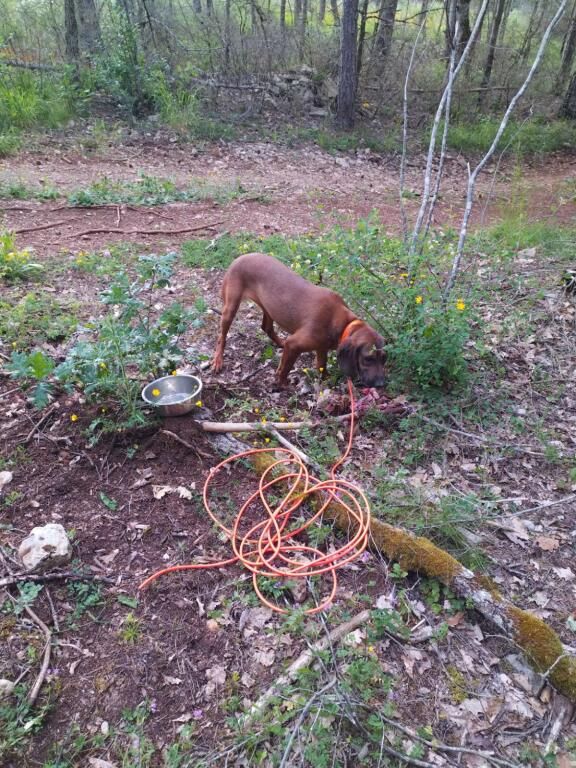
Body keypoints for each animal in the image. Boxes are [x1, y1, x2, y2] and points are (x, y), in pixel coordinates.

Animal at [213, 254, 388, 390]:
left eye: (384, 359)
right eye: (368, 359)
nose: (381, 384)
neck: (343, 322)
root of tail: (239, 258)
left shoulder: (321, 348)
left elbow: (321, 366)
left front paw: (326, 380)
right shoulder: (295, 344)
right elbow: (285, 369)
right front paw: (282, 383)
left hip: (269, 308)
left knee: (266, 328)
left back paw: (280, 343)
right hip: (230, 308)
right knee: (222, 336)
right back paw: (217, 360)